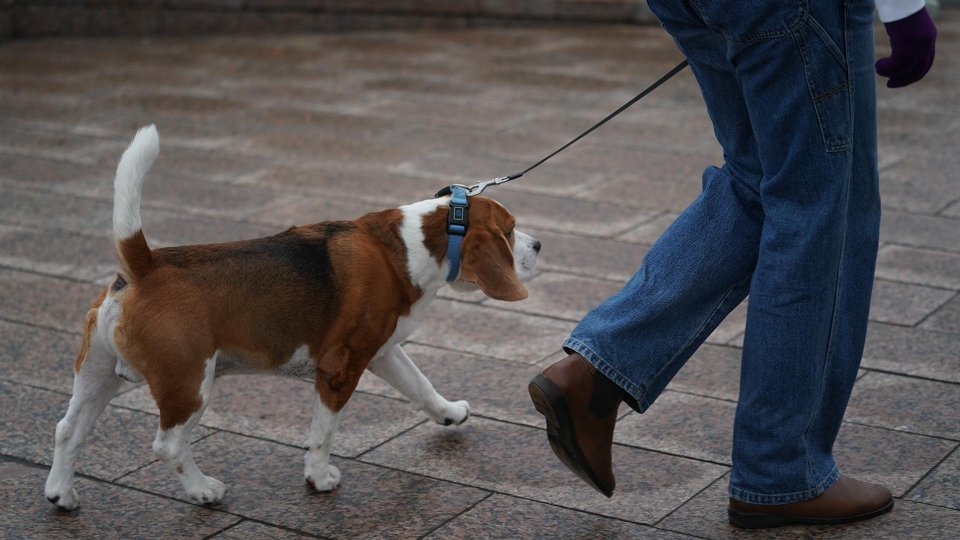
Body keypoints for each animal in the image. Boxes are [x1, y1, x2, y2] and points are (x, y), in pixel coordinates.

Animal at [47, 127, 540, 510]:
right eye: (511, 230)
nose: (539, 246)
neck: (408, 245)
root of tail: (144, 265)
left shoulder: (383, 352)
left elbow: (421, 386)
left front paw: (449, 413)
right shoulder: (340, 369)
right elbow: (323, 433)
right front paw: (319, 478)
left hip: (97, 375)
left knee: (68, 429)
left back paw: (61, 494)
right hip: (189, 383)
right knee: (167, 445)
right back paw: (203, 490)